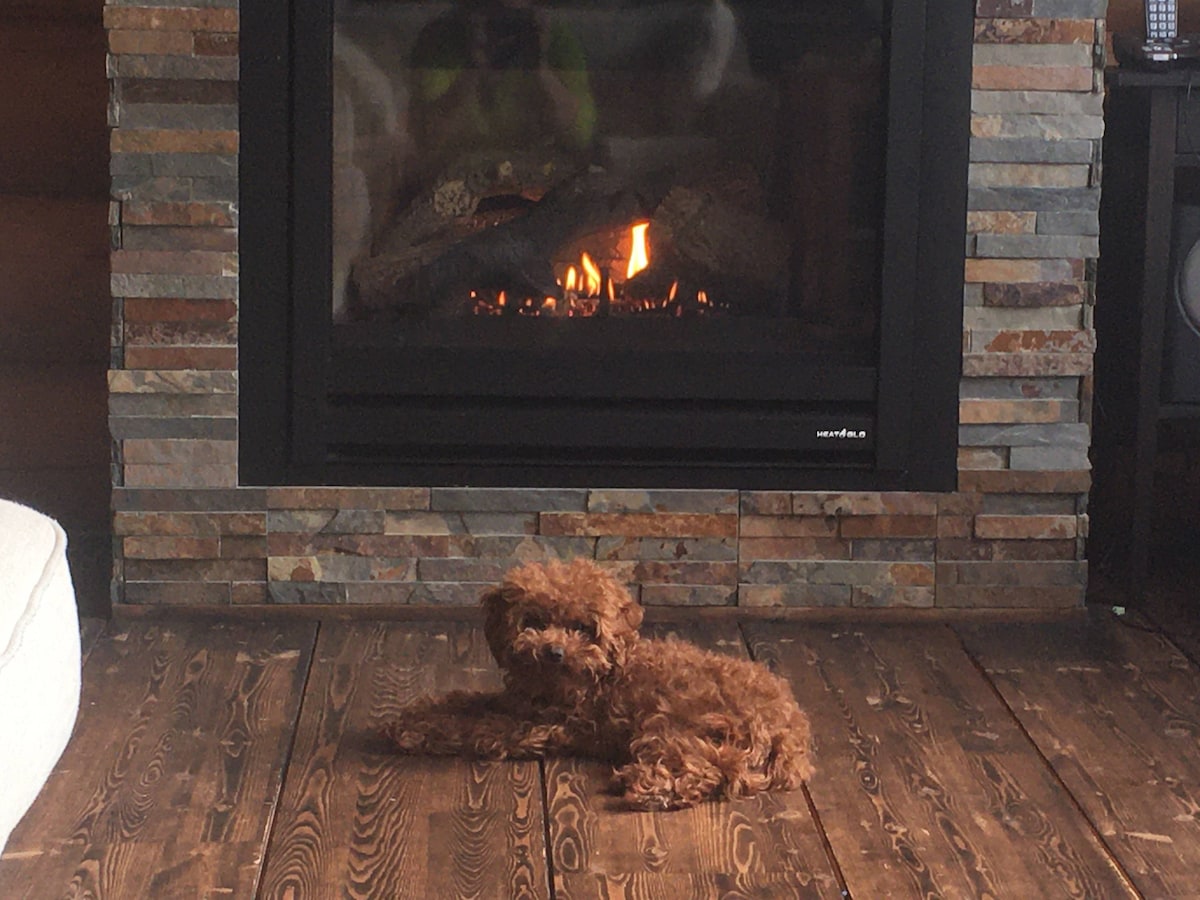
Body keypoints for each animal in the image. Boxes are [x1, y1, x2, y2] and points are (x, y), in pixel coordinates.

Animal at [384, 561, 816, 816]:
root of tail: (791, 729)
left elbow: (472, 726)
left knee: (711, 771)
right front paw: (421, 710)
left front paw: (416, 730)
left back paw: (655, 788)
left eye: (582, 628)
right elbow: (467, 702)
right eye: (534, 620)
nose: (554, 651)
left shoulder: (539, 726)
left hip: (672, 727)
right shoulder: (517, 703)